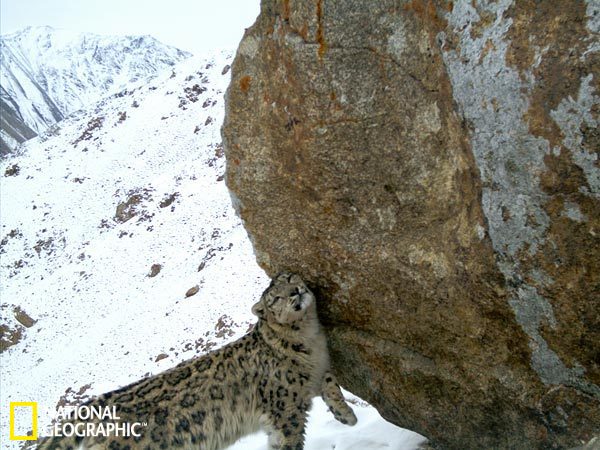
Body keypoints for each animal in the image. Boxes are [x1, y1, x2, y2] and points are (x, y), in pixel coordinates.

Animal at [36, 272, 356, 448]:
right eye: (275, 298)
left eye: (288, 280)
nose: (294, 292)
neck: (309, 339)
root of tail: (98, 402)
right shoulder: (284, 410)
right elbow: (287, 439)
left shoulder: (321, 367)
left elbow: (331, 384)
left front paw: (347, 415)